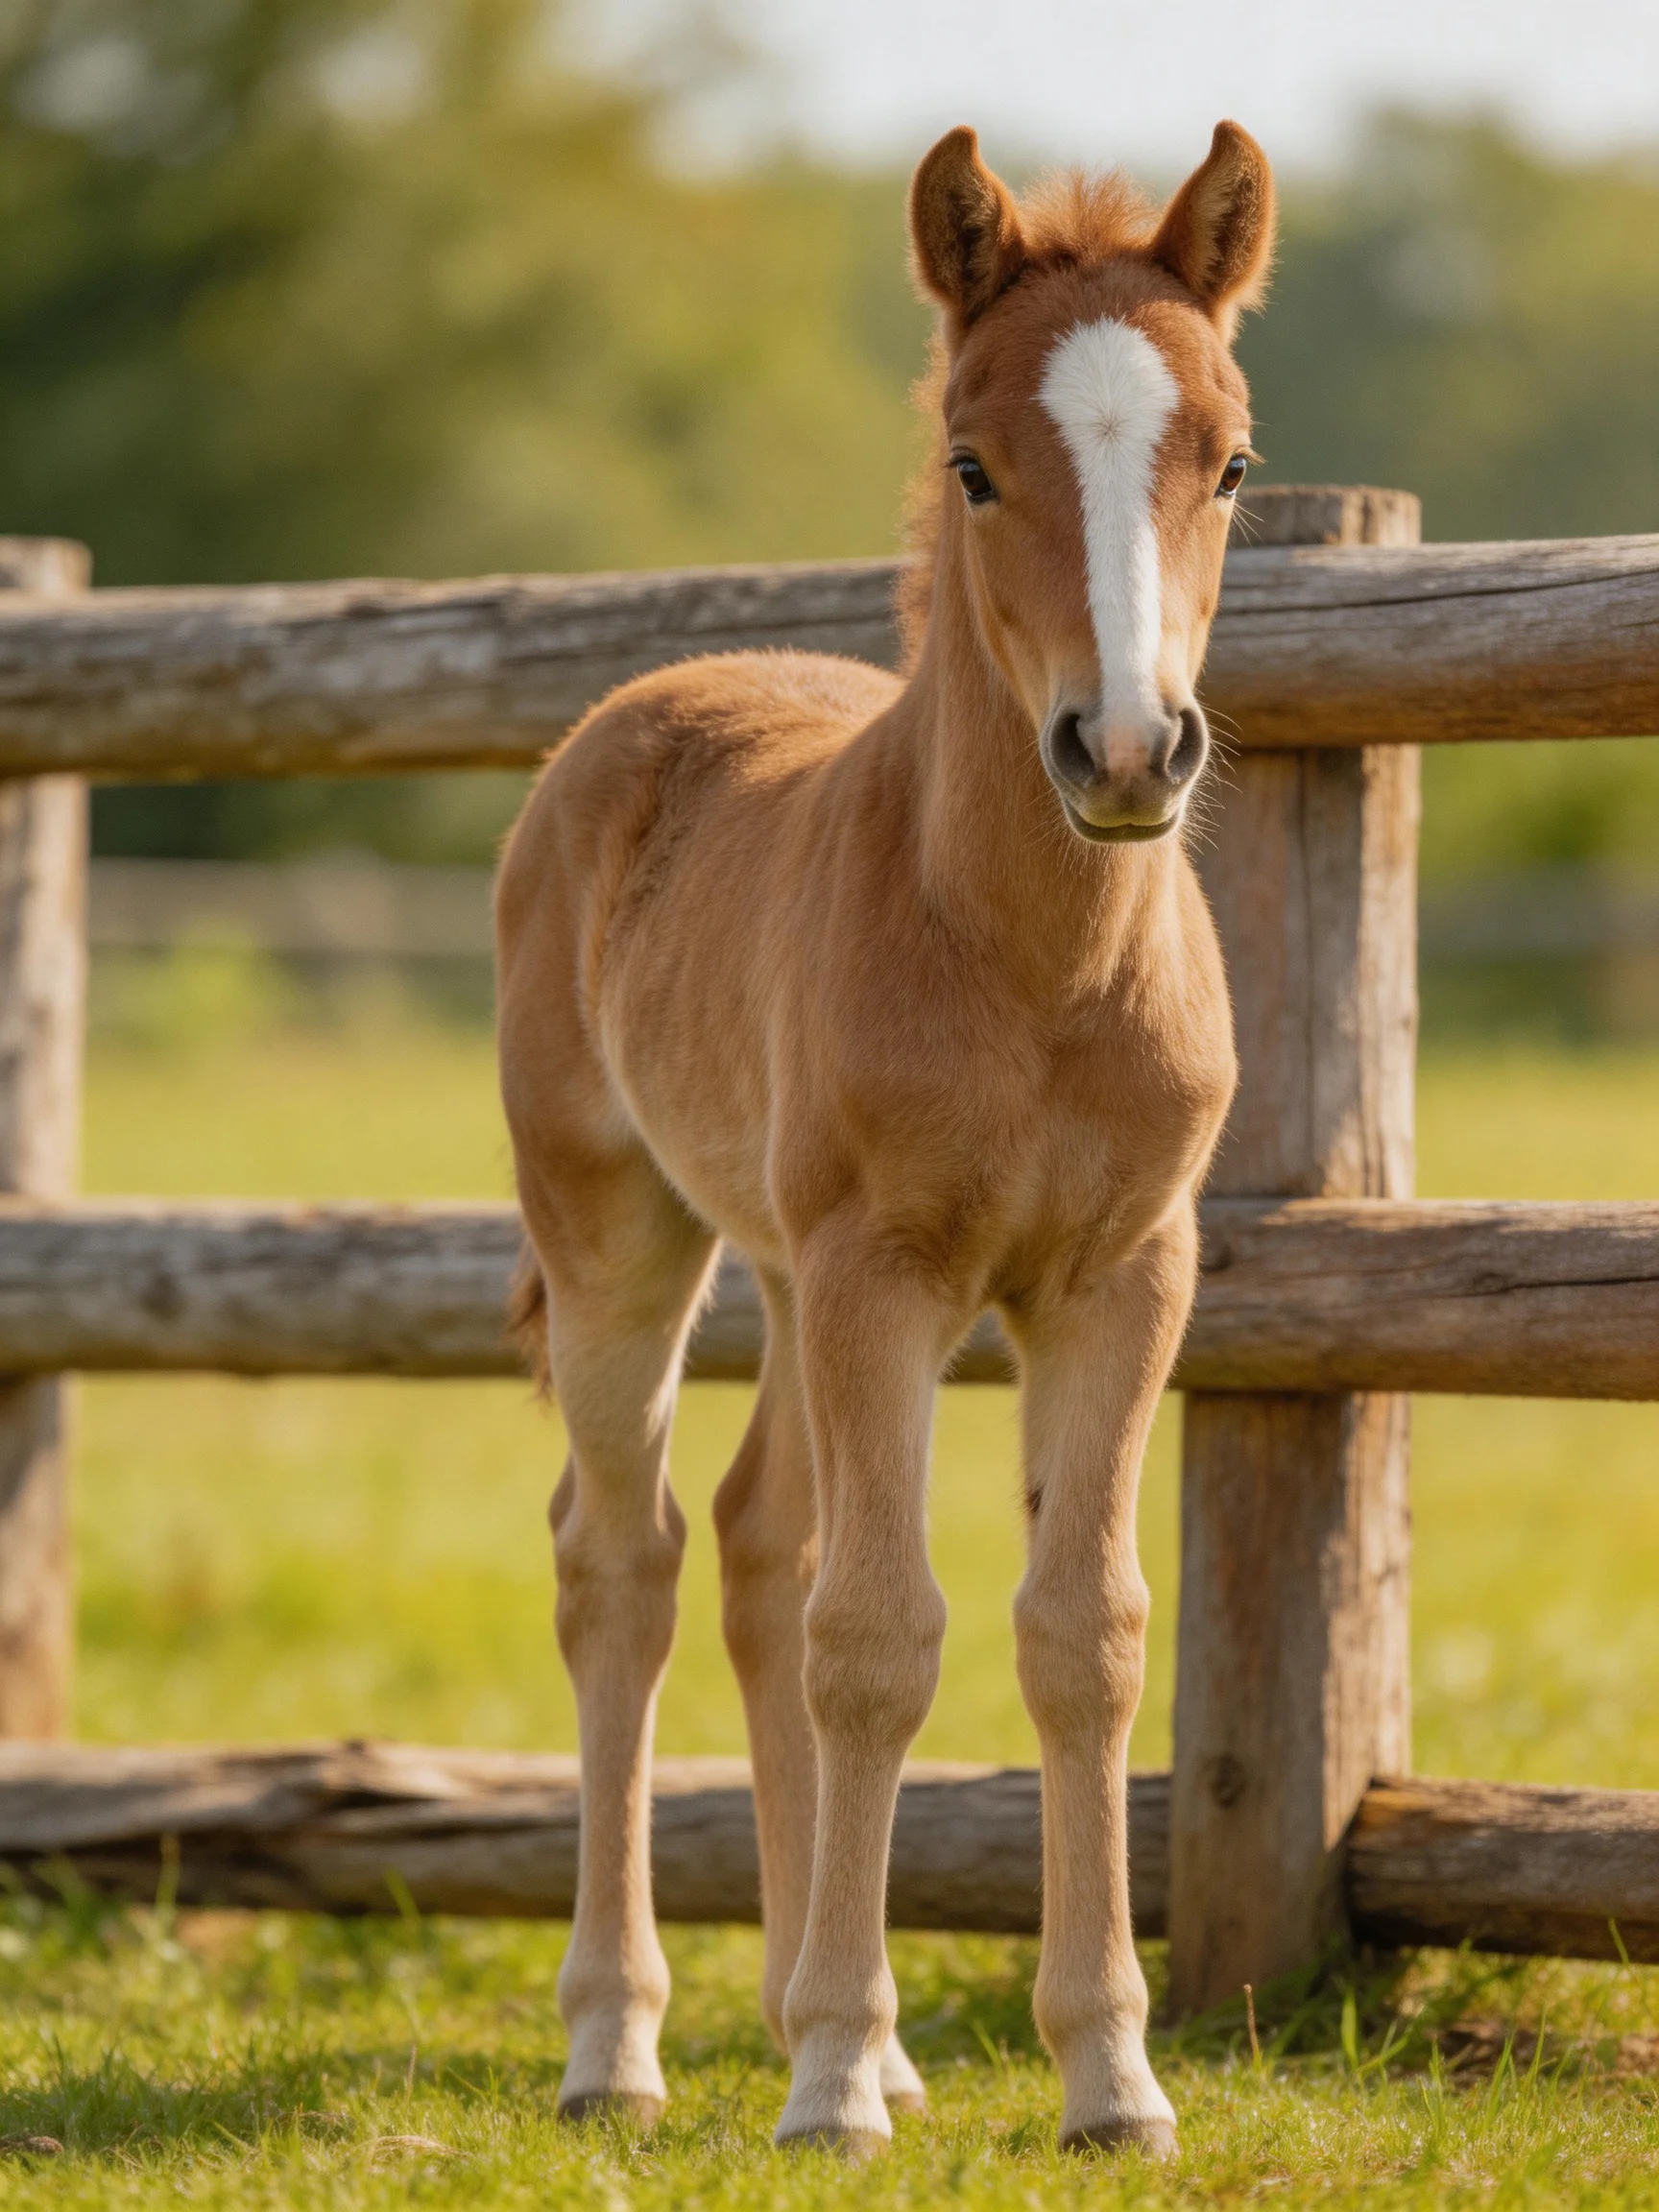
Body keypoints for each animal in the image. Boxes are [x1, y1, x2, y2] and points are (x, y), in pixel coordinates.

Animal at [495, 118, 1274, 2158]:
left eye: (1229, 459)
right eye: (972, 463)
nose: (1125, 750)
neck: (1032, 959)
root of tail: (634, 713)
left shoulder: (1121, 1275)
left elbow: (1082, 1633)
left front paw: (1107, 2074)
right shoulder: (883, 1270)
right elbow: (877, 1634)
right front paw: (836, 2076)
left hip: (780, 1268)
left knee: (758, 1542)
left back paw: (818, 2019)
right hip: (627, 1238)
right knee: (624, 1560)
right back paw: (624, 2040)